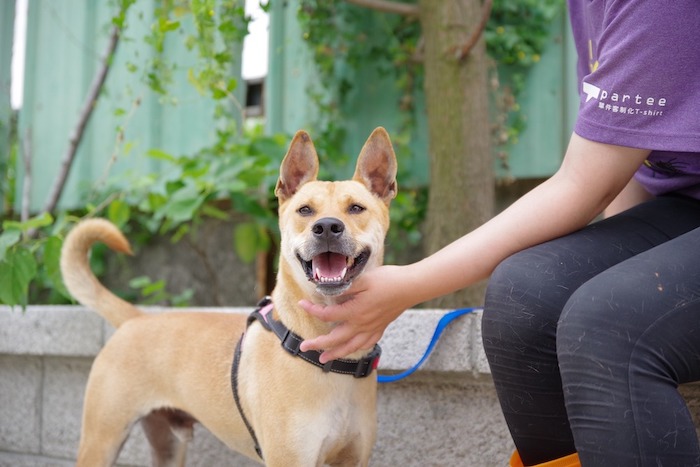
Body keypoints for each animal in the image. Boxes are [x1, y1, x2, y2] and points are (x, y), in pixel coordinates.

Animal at [60, 127, 398, 466]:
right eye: (305, 210)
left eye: (356, 208)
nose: (327, 227)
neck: (326, 354)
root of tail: (136, 318)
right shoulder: (288, 458)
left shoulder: (353, 459)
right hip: (101, 440)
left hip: (167, 445)